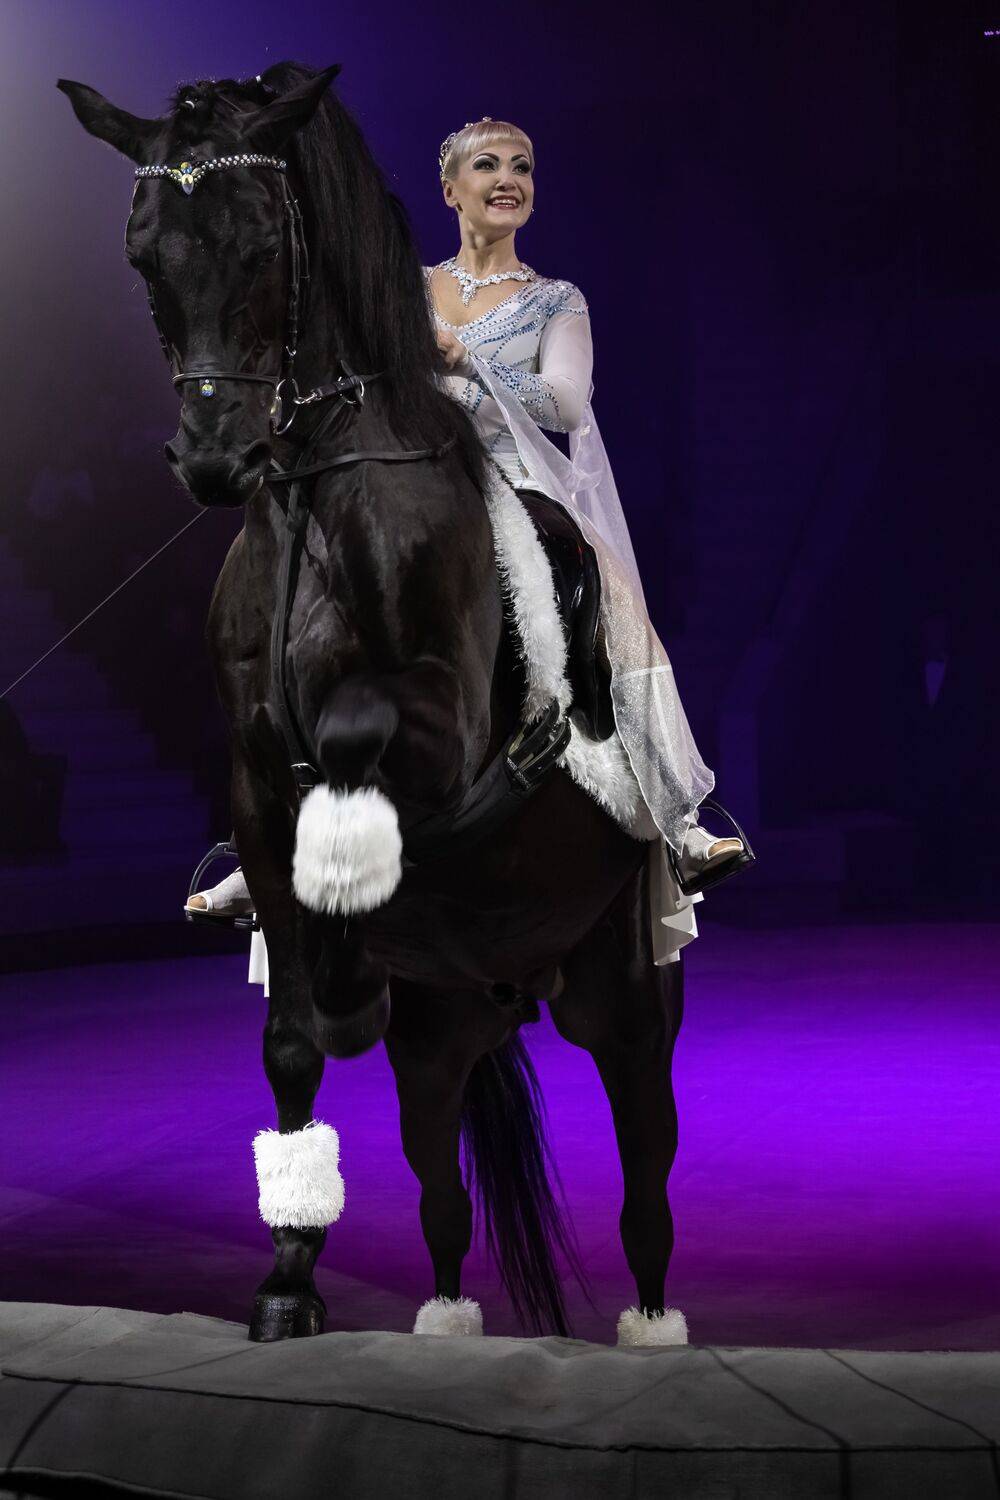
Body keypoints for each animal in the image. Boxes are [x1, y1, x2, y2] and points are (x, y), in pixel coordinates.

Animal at [59, 61, 686, 1346]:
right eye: (144, 253)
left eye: (262, 243)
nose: (213, 459)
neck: (317, 495)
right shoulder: (252, 779)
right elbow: (297, 1042)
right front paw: (288, 1282)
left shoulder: (450, 740)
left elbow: (355, 738)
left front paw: (350, 877)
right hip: (440, 1038)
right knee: (442, 1191)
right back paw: (443, 1308)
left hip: (625, 995)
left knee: (646, 1168)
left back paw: (654, 1330)